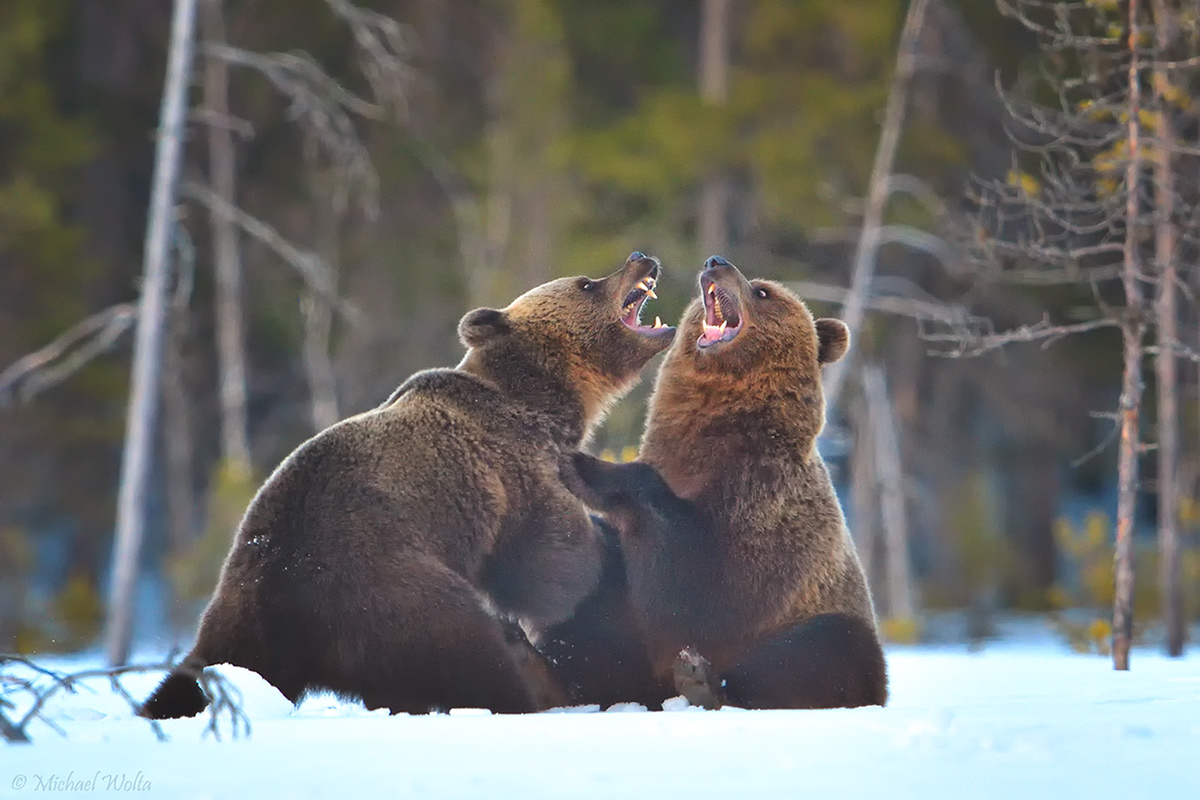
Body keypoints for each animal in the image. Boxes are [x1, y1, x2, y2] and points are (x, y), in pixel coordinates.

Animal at [140, 251, 676, 719]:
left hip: (245, 603)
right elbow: (551, 565)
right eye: (586, 284)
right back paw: (523, 683)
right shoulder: (514, 469)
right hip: (389, 585)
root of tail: (280, 594)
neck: (544, 404)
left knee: (197, 671)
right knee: (471, 649)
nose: (641, 257)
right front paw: (598, 552)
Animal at [549, 255, 888, 705]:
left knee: (826, 647)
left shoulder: (760, 509)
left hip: (829, 633)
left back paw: (703, 683)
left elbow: (698, 591)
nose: (716, 262)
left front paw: (583, 465)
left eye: (763, 292)